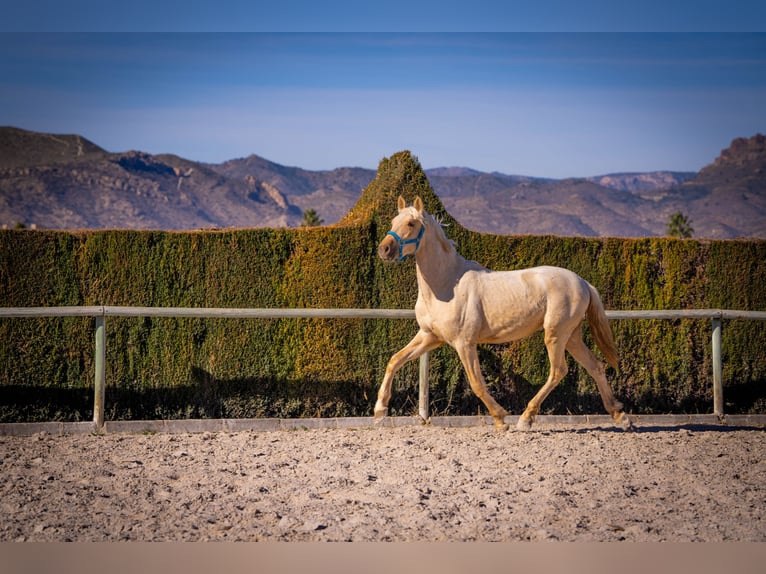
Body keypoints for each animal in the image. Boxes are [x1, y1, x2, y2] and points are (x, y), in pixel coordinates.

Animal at [376, 198, 632, 432]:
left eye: (411, 223)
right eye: (393, 222)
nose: (384, 249)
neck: (446, 285)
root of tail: (583, 282)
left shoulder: (464, 343)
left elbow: (477, 383)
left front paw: (501, 419)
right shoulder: (430, 337)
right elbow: (394, 361)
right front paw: (380, 411)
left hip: (556, 334)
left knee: (558, 371)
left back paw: (525, 419)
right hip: (572, 336)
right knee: (595, 366)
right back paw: (620, 416)